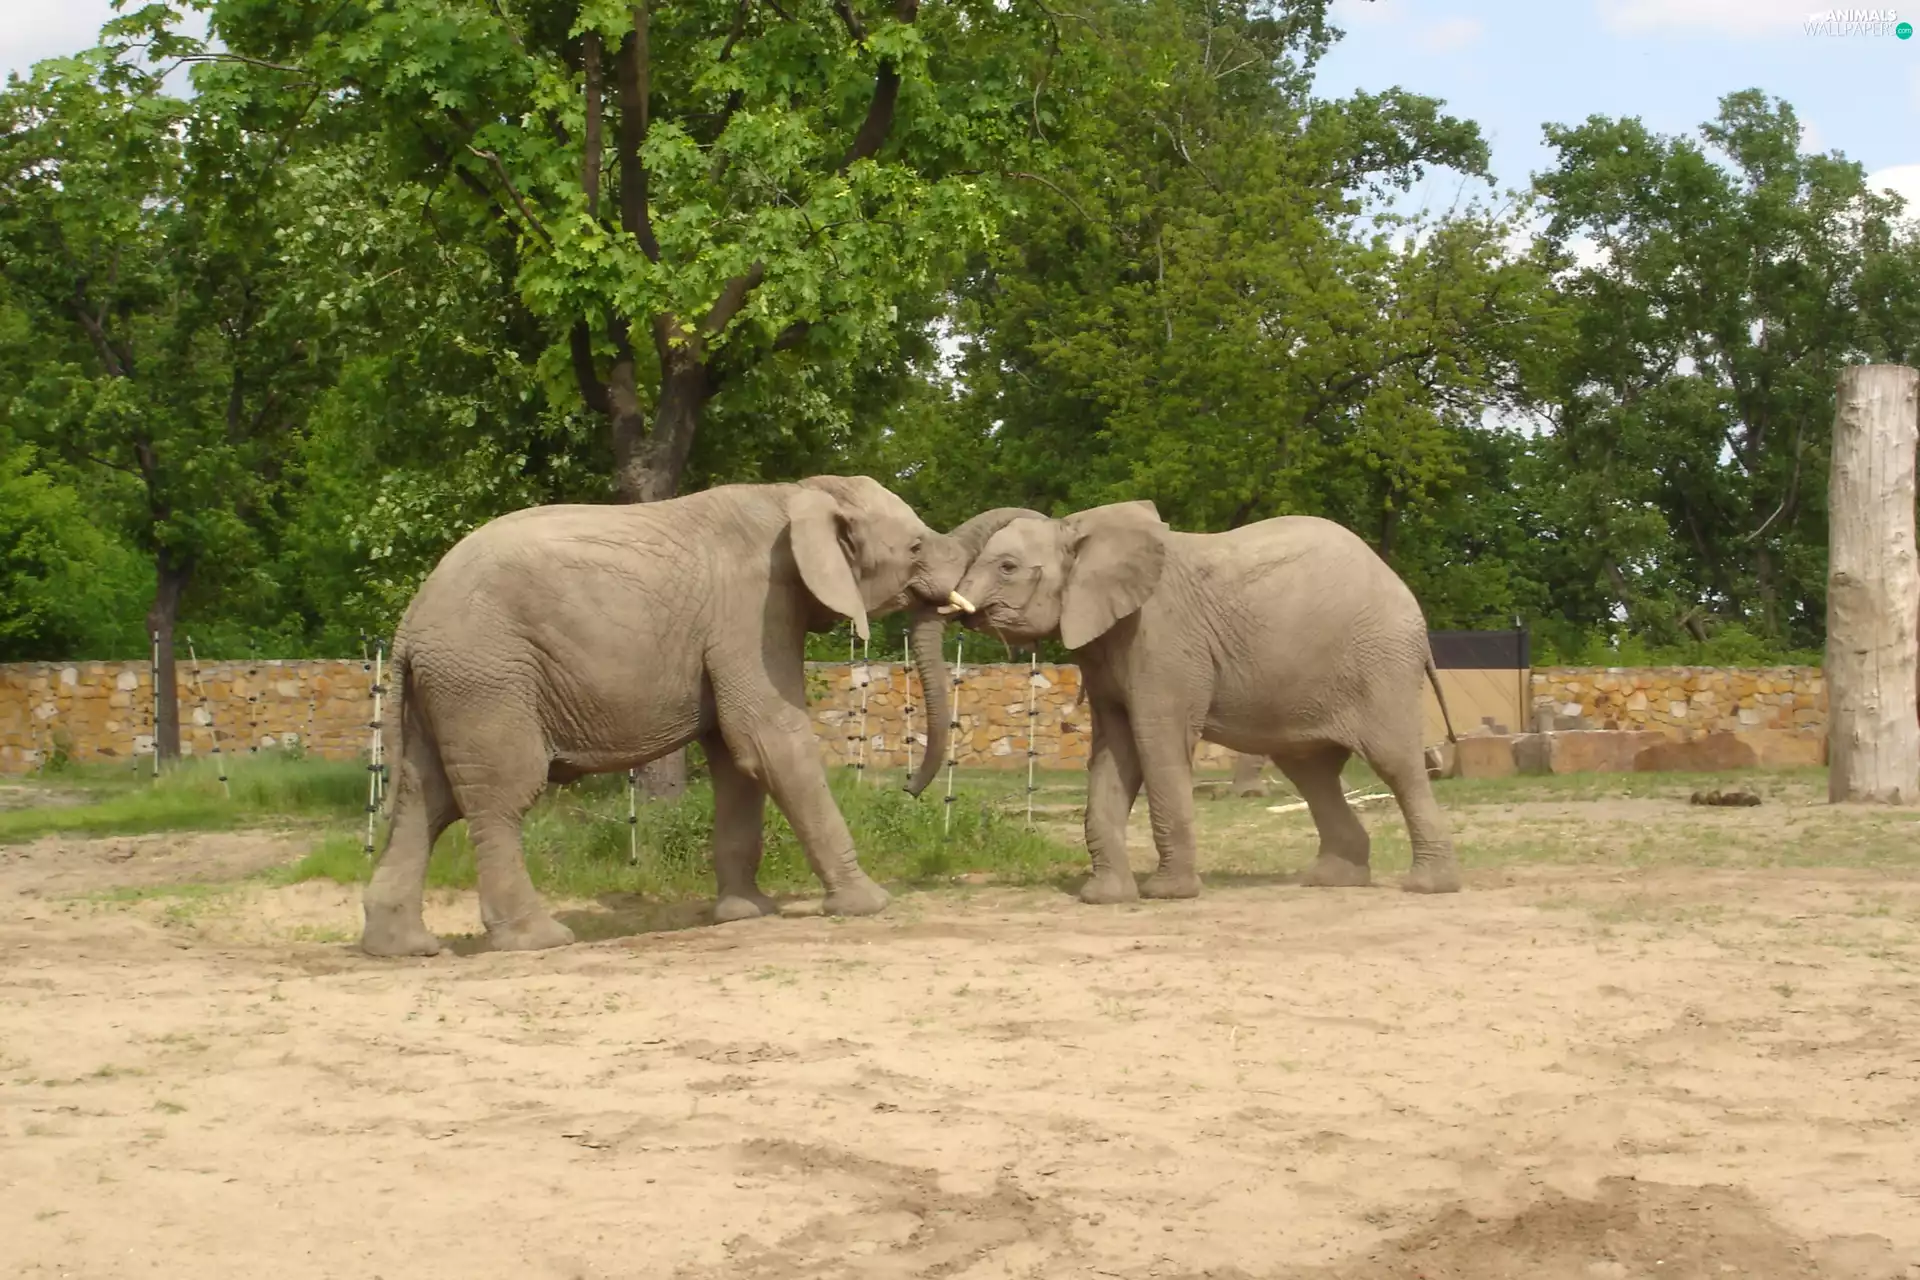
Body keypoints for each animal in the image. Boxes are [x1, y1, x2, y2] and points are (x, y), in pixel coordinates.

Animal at [360, 476, 1029, 957]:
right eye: (914, 547)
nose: (908, 788)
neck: (800, 490)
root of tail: (411, 620)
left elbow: (736, 758)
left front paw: (746, 914)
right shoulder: (753, 607)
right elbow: (770, 739)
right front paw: (868, 904)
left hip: (451, 684)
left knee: (425, 797)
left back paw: (404, 949)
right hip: (487, 676)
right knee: (501, 795)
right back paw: (537, 941)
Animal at [949, 500, 1463, 903]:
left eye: (1007, 567)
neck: (1084, 531)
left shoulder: (1163, 642)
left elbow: (1156, 743)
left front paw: (1167, 894)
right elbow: (1114, 752)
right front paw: (1103, 898)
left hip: (1381, 664)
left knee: (1394, 762)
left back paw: (1427, 886)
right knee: (1311, 772)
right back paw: (1330, 881)